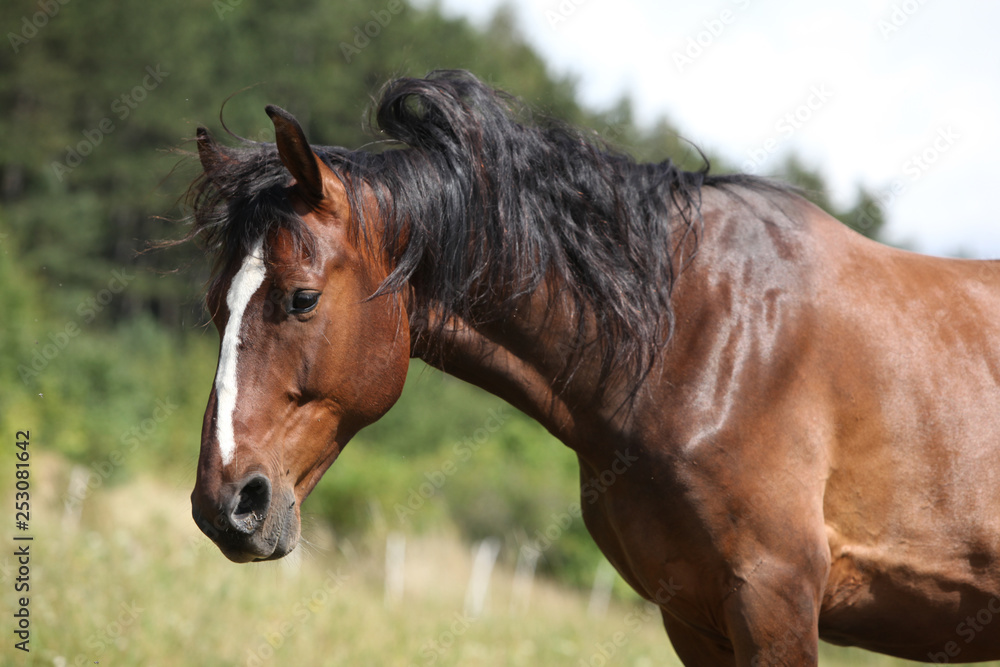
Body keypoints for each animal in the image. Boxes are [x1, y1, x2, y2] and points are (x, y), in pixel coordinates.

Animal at [186, 70, 1000, 664]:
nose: (226, 505)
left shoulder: (775, 599)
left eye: (301, 298)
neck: (704, 340)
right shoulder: (694, 615)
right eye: (216, 305)